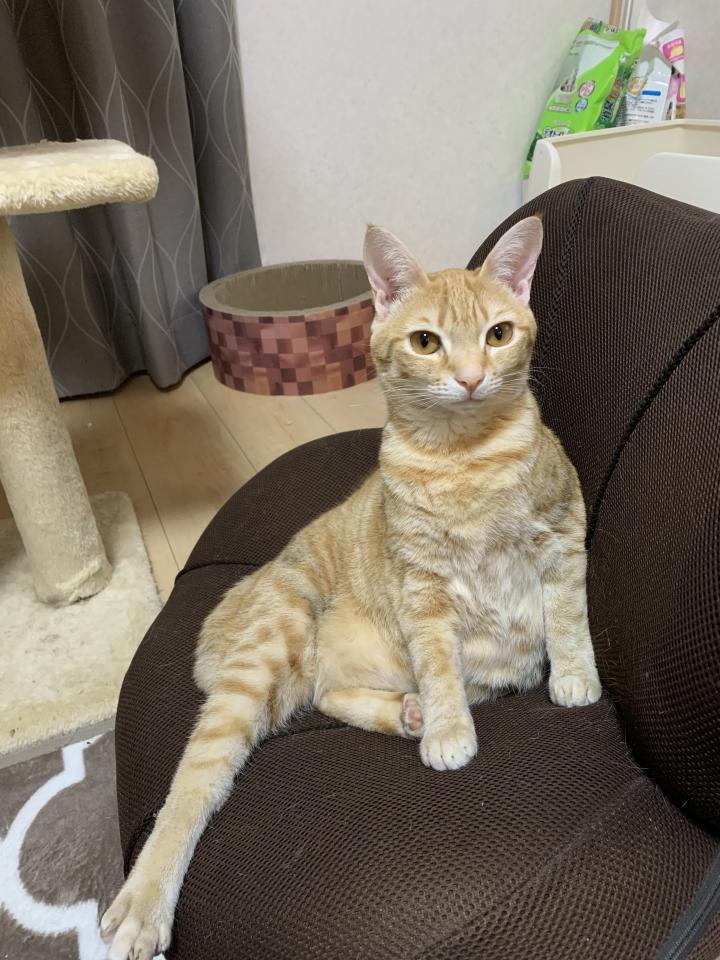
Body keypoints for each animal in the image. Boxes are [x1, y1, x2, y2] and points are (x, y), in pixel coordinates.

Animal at [101, 215, 601, 960]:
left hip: (327, 675)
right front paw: (449, 728)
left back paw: (407, 712)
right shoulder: (423, 588)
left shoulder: (564, 533)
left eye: (498, 334)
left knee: (328, 693)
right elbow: (438, 662)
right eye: (426, 342)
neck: (464, 459)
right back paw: (144, 901)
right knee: (194, 783)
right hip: (275, 640)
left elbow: (565, 617)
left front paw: (571, 678)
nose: (472, 378)